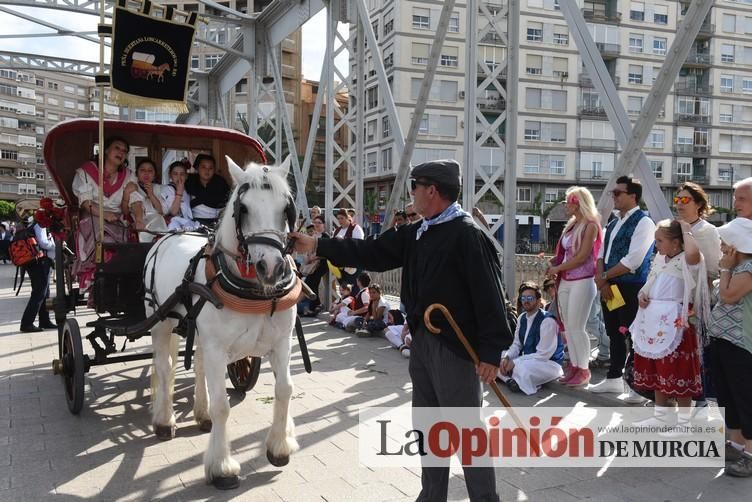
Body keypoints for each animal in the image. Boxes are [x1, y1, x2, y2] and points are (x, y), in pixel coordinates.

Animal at [145, 156, 298, 486]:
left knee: (199, 366)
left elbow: (284, 390)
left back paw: (200, 415)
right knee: (164, 368)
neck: (254, 291)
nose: (272, 268)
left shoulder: (282, 343)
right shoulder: (217, 347)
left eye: (286, 208)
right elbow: (222, 406)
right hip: (161, 323)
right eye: (244, 209)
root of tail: (168, 236)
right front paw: (222, 466)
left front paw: (279, 446)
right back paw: (164, 420)